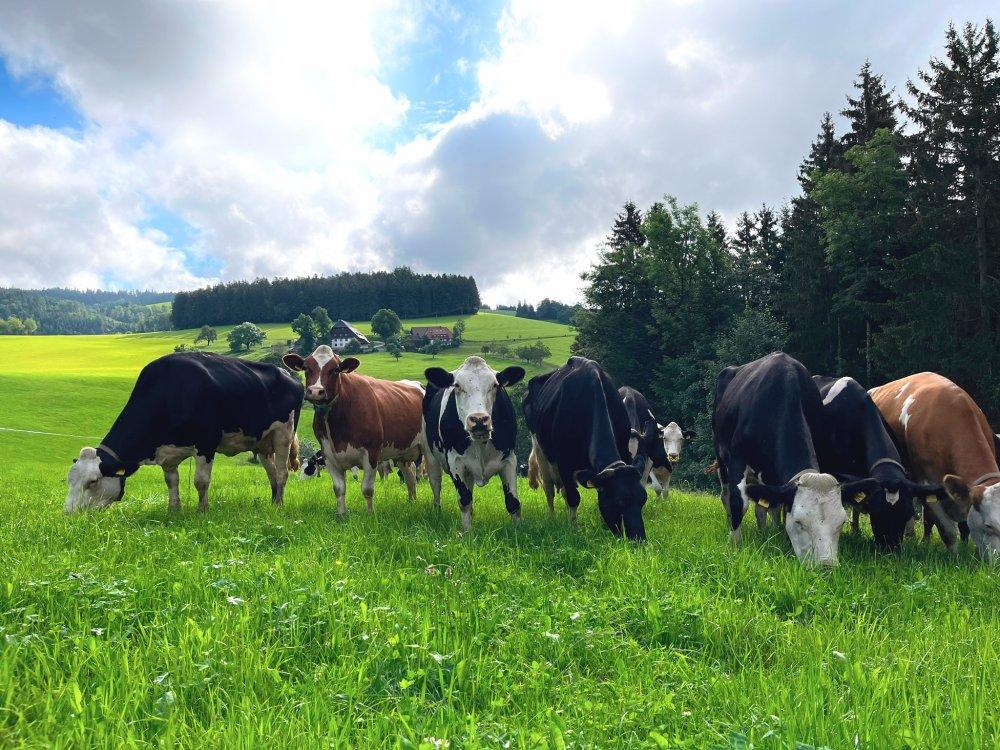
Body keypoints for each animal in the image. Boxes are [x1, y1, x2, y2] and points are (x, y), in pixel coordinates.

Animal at [65, 352, 302, 513]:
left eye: (93, 481)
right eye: (68, 480)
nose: (68, 515)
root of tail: (289, 375)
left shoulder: (206, 442)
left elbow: (200, 481)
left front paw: (202, 511)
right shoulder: (168, 453)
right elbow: (171, 481)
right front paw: (173, 510)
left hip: (284, 435)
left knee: (282, 473)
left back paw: (279, 505)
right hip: (263, 443)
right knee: (271, 473)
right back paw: (274, 502)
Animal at [282, 346, 428, 516]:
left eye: (335, 369)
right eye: (306, 368)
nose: (316, 391)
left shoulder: (371, 454)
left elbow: (367, 489)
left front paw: (370, 514)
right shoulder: (329, 455)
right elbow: (339, 489)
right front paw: (341, 515)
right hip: (403, 453)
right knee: (410, 475)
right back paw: (412, 501)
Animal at [422, 357, 525, 531]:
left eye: (494, 385)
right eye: (457, 385)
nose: (479, 420)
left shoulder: (510, 458)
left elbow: (513, 503)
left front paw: (519, 531)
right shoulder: (455, 461)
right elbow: (464, 500)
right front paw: (467, 532)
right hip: (431, 456)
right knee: (436, 484)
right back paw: (437, 511)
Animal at [523, 357, 647, 541]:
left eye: (643, 499)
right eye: (618, 502)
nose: (639, 539)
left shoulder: (624, 449)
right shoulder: (564, 462)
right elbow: (574, 497)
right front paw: (574, 529)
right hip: (541, 450)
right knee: (549, 489)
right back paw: (552, 517)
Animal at [713, 352, 878, 565]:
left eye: (841, 522)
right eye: (799, 522)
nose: (825, 565)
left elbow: (775, 504)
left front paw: (778, 535)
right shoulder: (737, 458)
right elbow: (738, 502)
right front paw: (734, 542)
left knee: (763, 507)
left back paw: (765, 530)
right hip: (721, 457)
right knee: (726, 495)